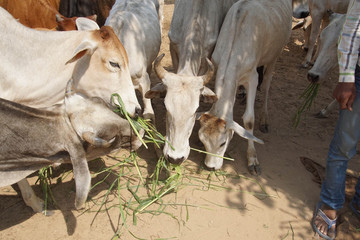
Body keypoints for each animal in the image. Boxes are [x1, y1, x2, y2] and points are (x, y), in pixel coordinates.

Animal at [197, 0, 296, 175]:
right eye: (203, 141)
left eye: (223, 143)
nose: (210, 166)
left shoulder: (252, 77)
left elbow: (249, 120)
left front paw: (252, 159)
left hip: (275, 55)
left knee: (267, 85)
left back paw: (264, 119)